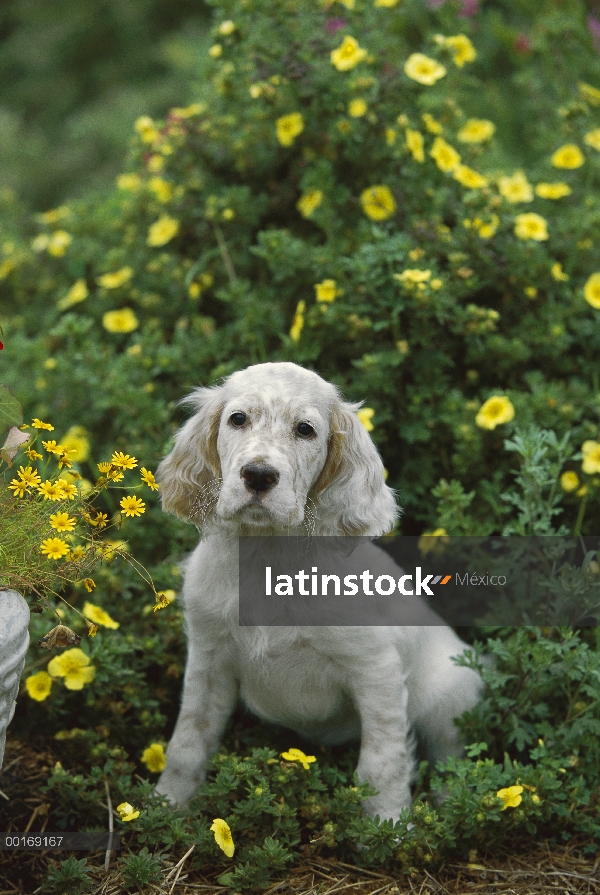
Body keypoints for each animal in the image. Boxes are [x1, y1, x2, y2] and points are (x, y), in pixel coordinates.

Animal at [156, 360, 482, 824]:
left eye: (305, 429)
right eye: (237, 419)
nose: (258, 475)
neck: (270, 556)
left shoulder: (376, 670)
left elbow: (382, 762)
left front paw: (389, 825)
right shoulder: (208, 659)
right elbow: (188, 740)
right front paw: (165, 807)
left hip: (452, 693)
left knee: (451, 756)